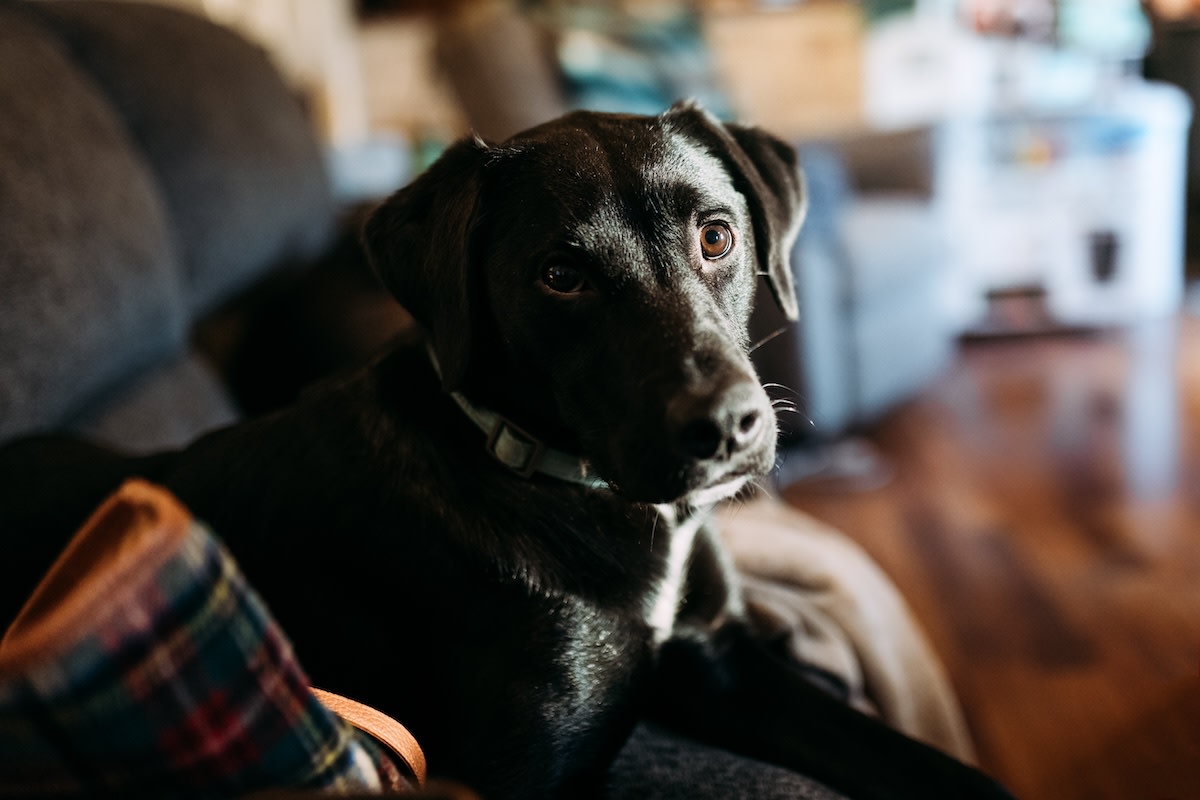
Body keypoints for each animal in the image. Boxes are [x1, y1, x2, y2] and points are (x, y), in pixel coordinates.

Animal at [0, 106, 1012, 800]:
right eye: (560, 275)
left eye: (717, 235)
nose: (726, 429)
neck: (586, 494)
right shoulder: (521, 772)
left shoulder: (721, 661)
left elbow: (920, 762)